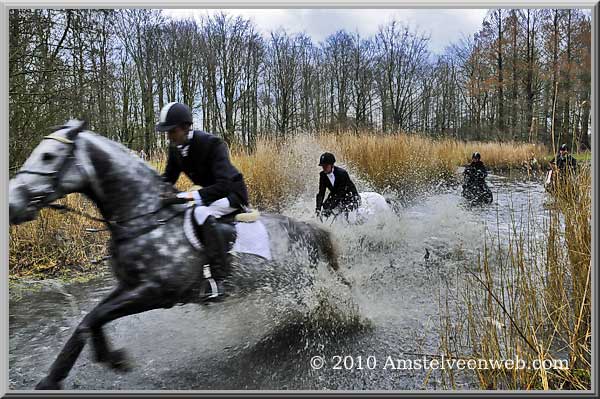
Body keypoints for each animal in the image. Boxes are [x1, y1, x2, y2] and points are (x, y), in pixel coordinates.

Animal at [9, 120, 342, 390]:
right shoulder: (128, 286)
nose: (12, 205)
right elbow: (90, 319)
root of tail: (304, 228)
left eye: (48, 156)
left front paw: (109, 360)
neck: (143, 218)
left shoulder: (155, 292)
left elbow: (96, 316)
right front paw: (69, 372)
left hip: (298, 279)